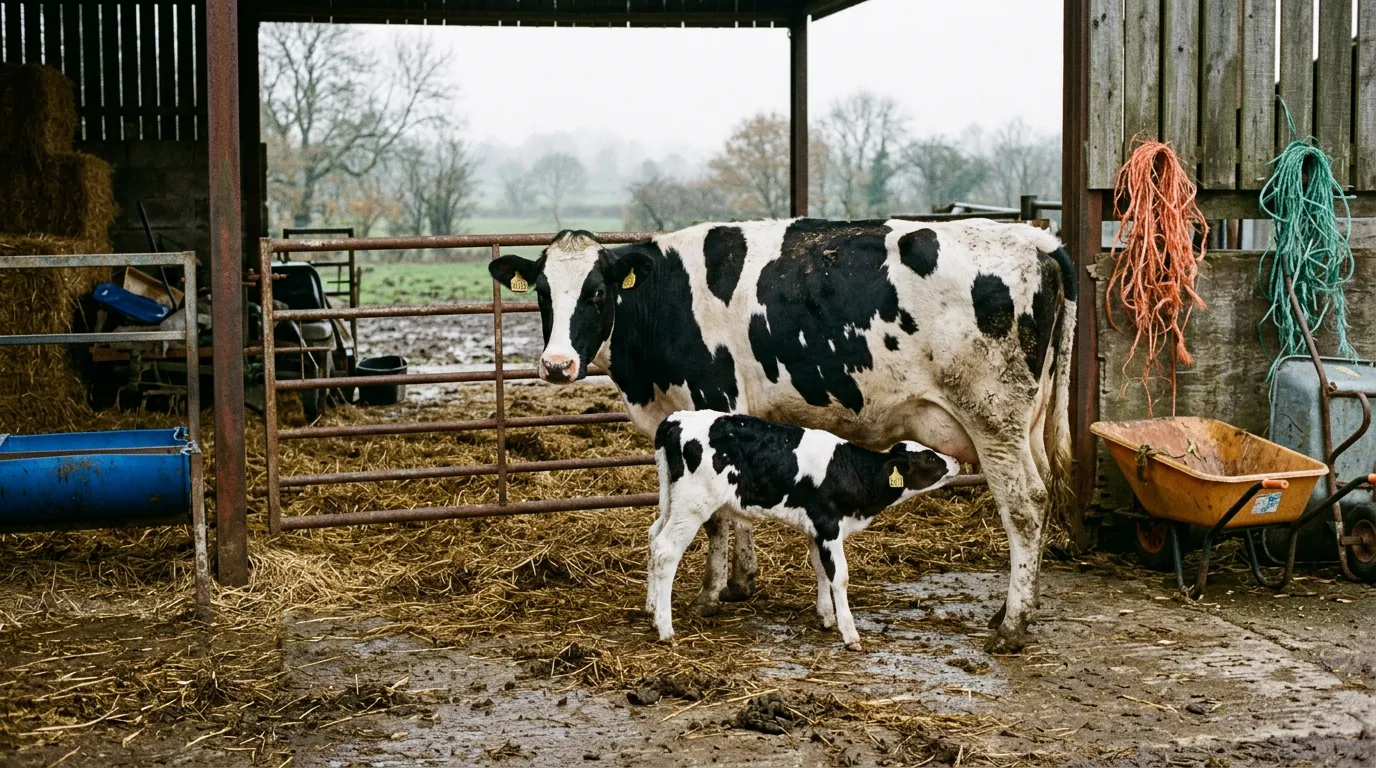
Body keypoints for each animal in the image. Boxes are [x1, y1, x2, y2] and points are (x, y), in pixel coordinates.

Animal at [648, 410, 961, 651]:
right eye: (930, 459)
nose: (956, 461)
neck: (851, 471)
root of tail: (675, 420)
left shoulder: (817, 530)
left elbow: (821, 569)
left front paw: (826, 617)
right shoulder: (829, 525)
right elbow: (840, 576)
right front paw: (850, 634)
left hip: (671, 501)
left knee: (653, 537)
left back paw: (651, 607)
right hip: (692, 505)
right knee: (665, 551)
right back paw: (665, 628)